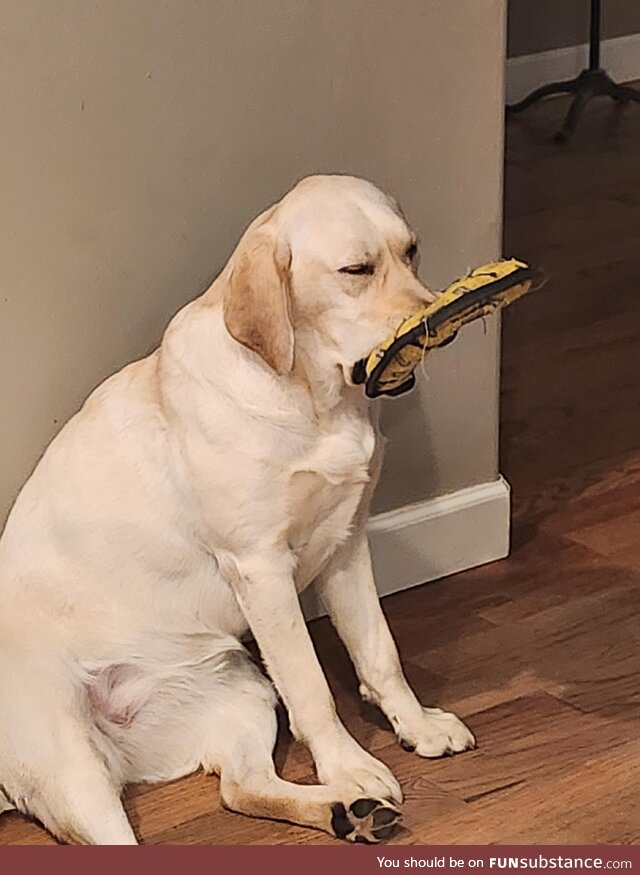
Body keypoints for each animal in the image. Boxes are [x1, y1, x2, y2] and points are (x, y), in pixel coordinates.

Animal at [0, 175, 476, 844]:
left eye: (412, 251)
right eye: (356, 270)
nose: (442, 324)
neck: (313, 399)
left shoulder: (348, 543)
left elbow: (380, 652)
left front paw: (417, 727)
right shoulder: (261, 567)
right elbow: (312, 686)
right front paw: (350, 765)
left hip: (242, 691)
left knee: (240, 788)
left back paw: (347, 812)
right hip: (73, 763)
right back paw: (348, 797)